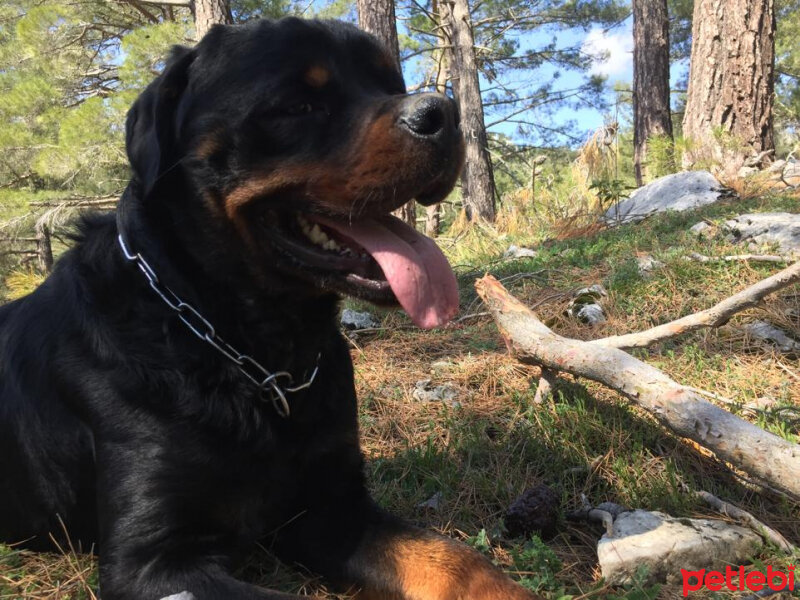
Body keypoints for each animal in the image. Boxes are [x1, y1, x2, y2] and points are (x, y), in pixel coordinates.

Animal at [0, 18, 540, 600]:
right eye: (298, 105)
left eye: (389, 84)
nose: (444, 112)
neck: (255, 354)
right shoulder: (153, 562)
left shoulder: (333, 508)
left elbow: (456, 561)